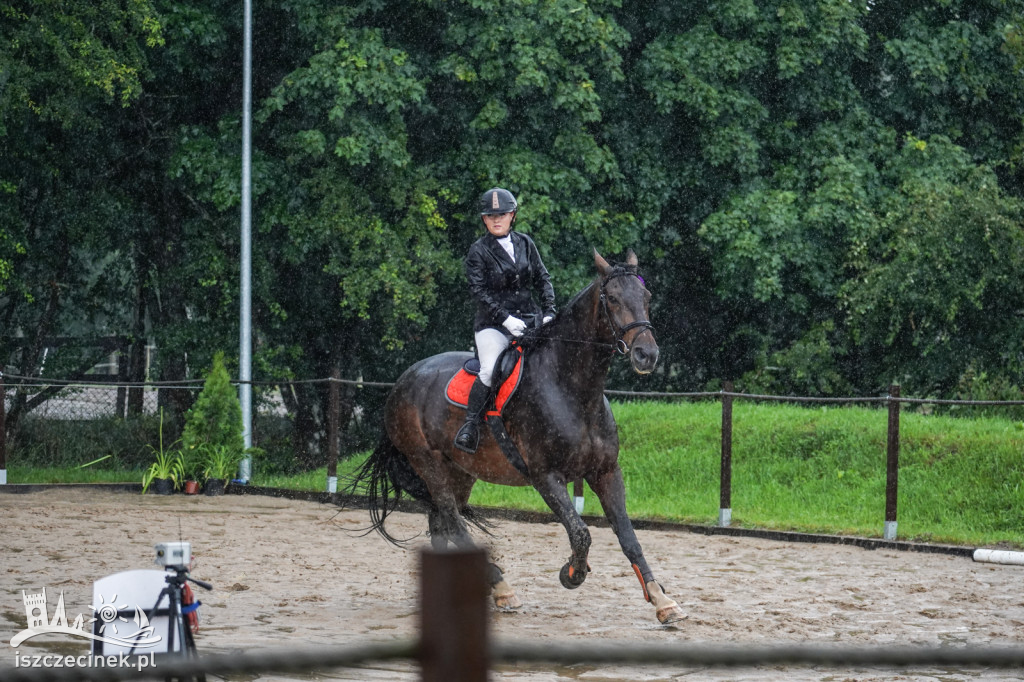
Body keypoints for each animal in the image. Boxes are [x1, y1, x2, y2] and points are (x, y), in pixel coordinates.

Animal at [346, 248, 688, 622]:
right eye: (611, 299)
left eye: (646, 297)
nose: (647, 354)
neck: (575, 389)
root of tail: (402, 381)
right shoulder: (545, 475)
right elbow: (581, 533)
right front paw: (572, 573)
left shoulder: (606, 472)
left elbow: (628, 537)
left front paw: (663, 601)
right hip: (428, 462)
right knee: (453, 520)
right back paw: (502, 588)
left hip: (459, 471)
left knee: (442, 522)